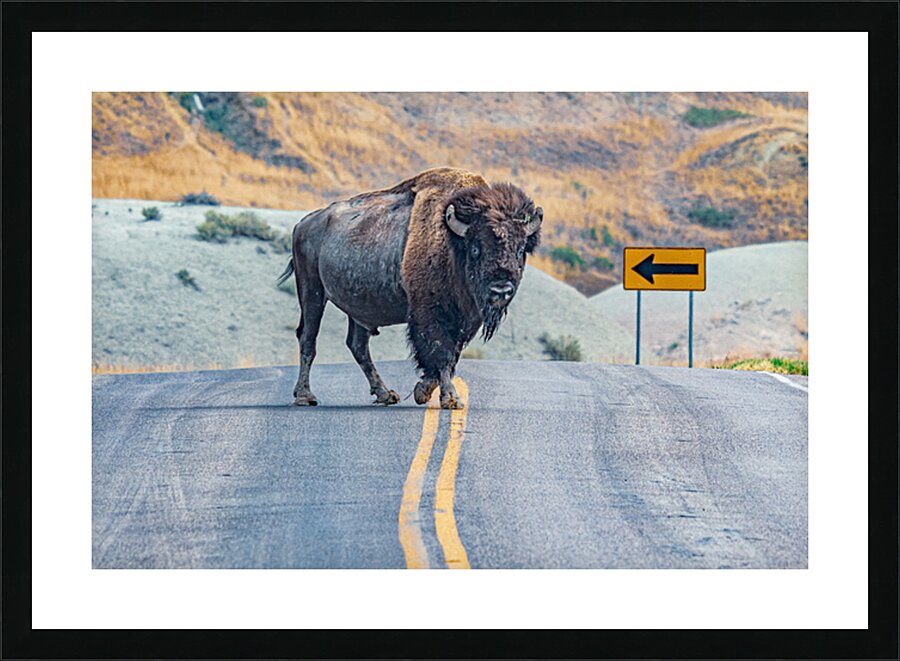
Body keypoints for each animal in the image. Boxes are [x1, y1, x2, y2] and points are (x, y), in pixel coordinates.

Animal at [277, 167, 542, 409]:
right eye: (476, 248)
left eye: (520, 249)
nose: (501, 289)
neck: (452, 242)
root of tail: (303, 224)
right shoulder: (430, 314)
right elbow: (440, 353)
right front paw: (450, 399)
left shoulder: (465, 320)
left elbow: (450, 357)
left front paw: (422, 391)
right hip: (312, 292)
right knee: (308, 338)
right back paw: (305, 396)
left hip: (357, 308)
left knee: (357, 345)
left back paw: (385, 394)